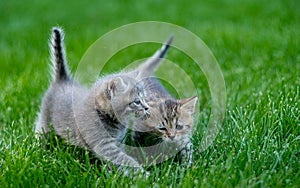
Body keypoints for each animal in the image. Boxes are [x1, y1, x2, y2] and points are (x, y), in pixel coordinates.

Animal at [35, 26, 172, 169]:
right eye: (137, 101)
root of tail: (63, 80)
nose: (146, 107)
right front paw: (141, 173)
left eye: (145, 98)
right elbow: (123, 159)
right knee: (41, 130)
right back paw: (39, 148)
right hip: (45, 118)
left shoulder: (118, 140)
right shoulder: (104, 144)